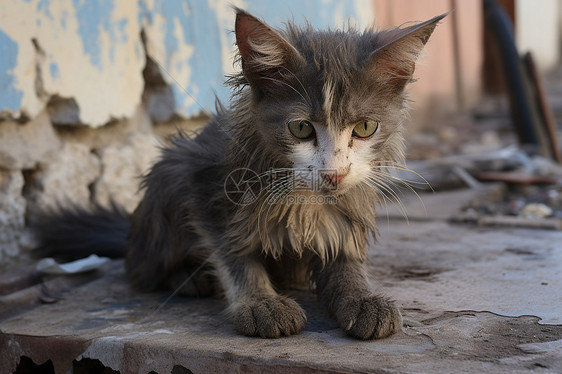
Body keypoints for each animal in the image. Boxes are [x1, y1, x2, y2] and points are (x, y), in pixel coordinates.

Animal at [37, 8, 444, 340]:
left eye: (364, 128)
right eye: (300, 129)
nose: (334, 174)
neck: (306, 200)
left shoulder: (351, 201)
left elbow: (345, 258)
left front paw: (362, 297)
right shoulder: (200, 179)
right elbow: (233, 252)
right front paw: (259, 302)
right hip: (168, 173)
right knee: (138, 270)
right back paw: (189, 278)